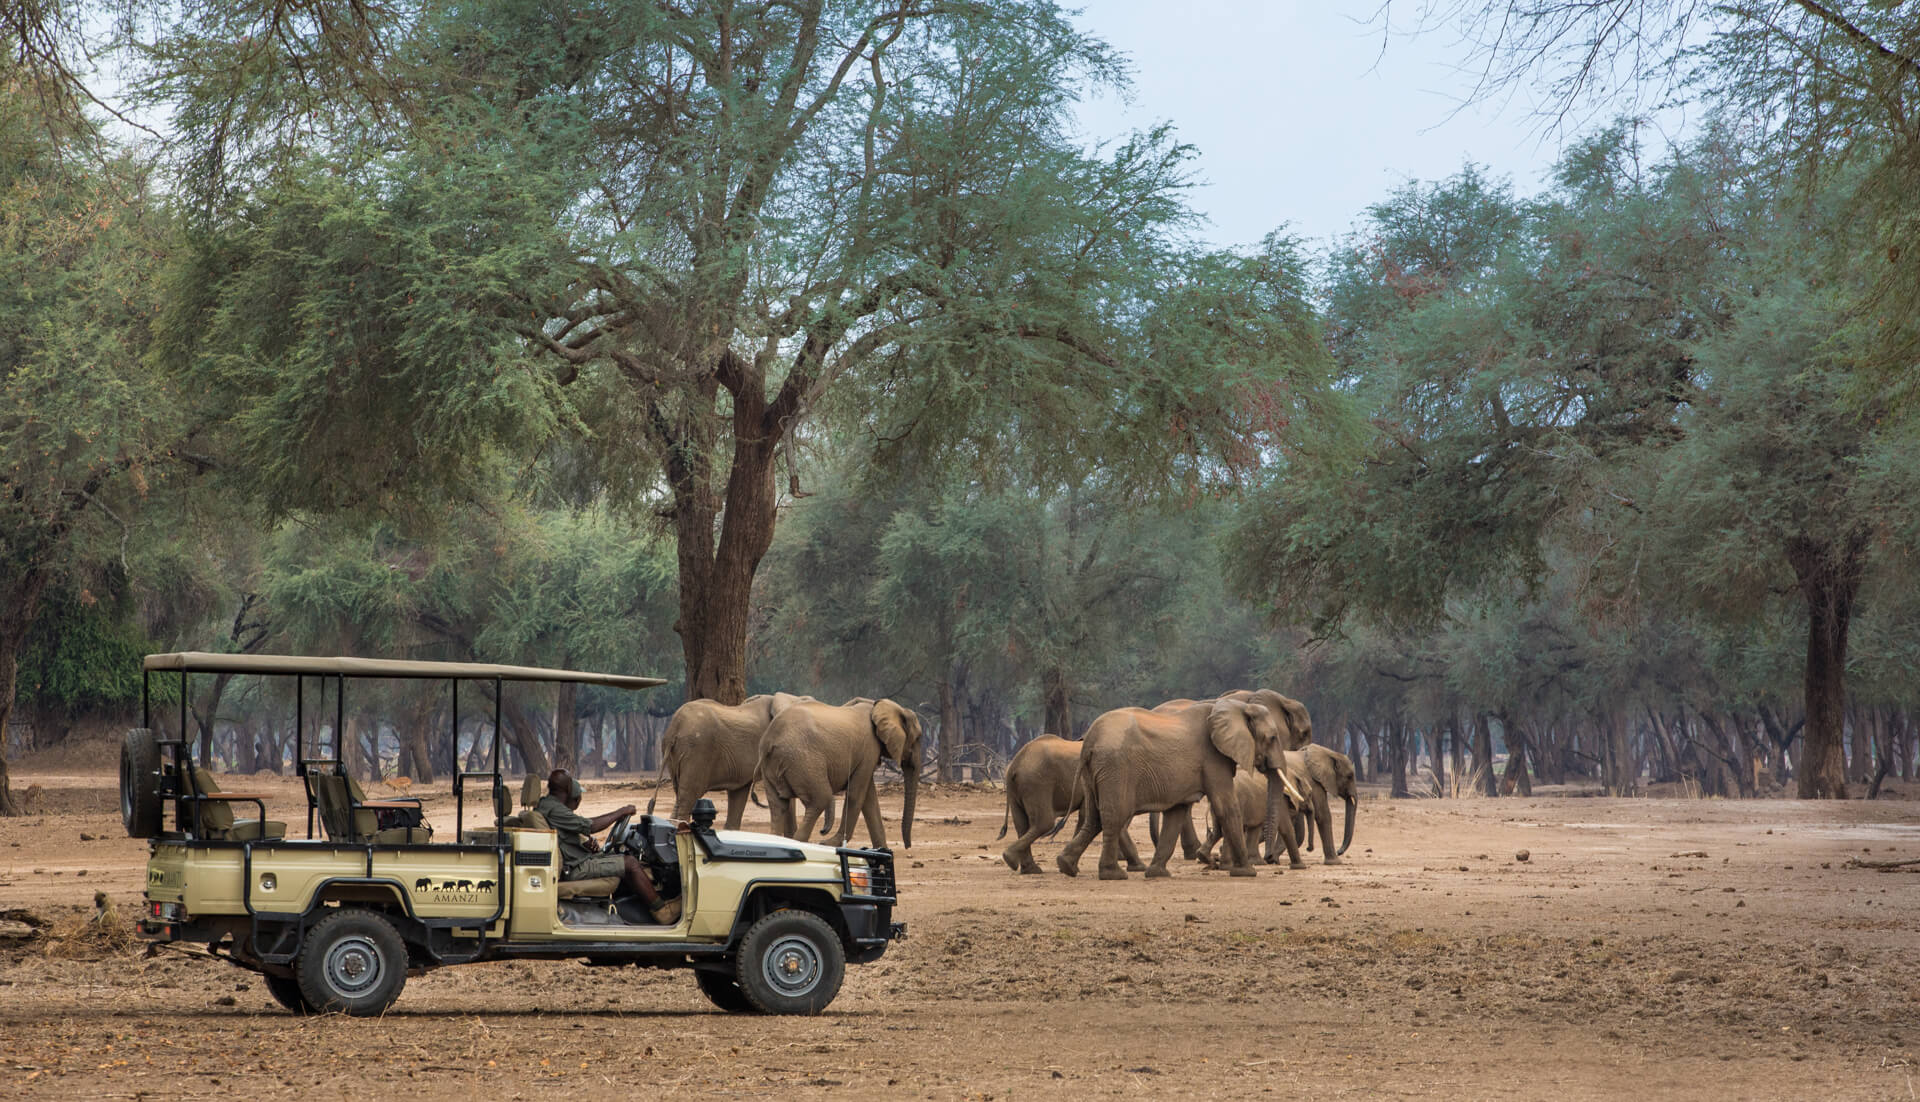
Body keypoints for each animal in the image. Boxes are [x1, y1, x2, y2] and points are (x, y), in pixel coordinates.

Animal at [646, 693, 811, 830]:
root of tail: (675, 727)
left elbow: (738, 793)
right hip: (696, 751)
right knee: (688, 797)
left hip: (677, 756)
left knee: (680, 796)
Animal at [757, 698, 923, 850]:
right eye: (917, 738)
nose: (907, 846)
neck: (879, 706)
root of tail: (769, 740)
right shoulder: (869, 749)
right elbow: (856, 795)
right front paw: (828, 843)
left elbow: (869, 800)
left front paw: (883, 851)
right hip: (801, 760)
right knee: (820, 798)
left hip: (773, 766)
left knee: (778, 805)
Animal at [997, 735, 1142, 874]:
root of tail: (1016, 763)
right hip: (1037, 783)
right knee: (1044, 823)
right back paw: (1014, 860)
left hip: (1017, 788)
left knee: (1022, 825)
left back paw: (1026, 868)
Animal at [1054, 698, 1299, 880]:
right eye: (1272, 738)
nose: (1269, 859)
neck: (1237, 707)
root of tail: (1089, 740)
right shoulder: (1213, 759)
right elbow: (1226, 806)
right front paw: (1247, 872)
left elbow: (1177, 813)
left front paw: (1157, 874)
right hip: (1116, 768)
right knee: (1114, 816)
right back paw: (1113, 875)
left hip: (1095, 771)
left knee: (1094, 818)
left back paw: (1066, 866)